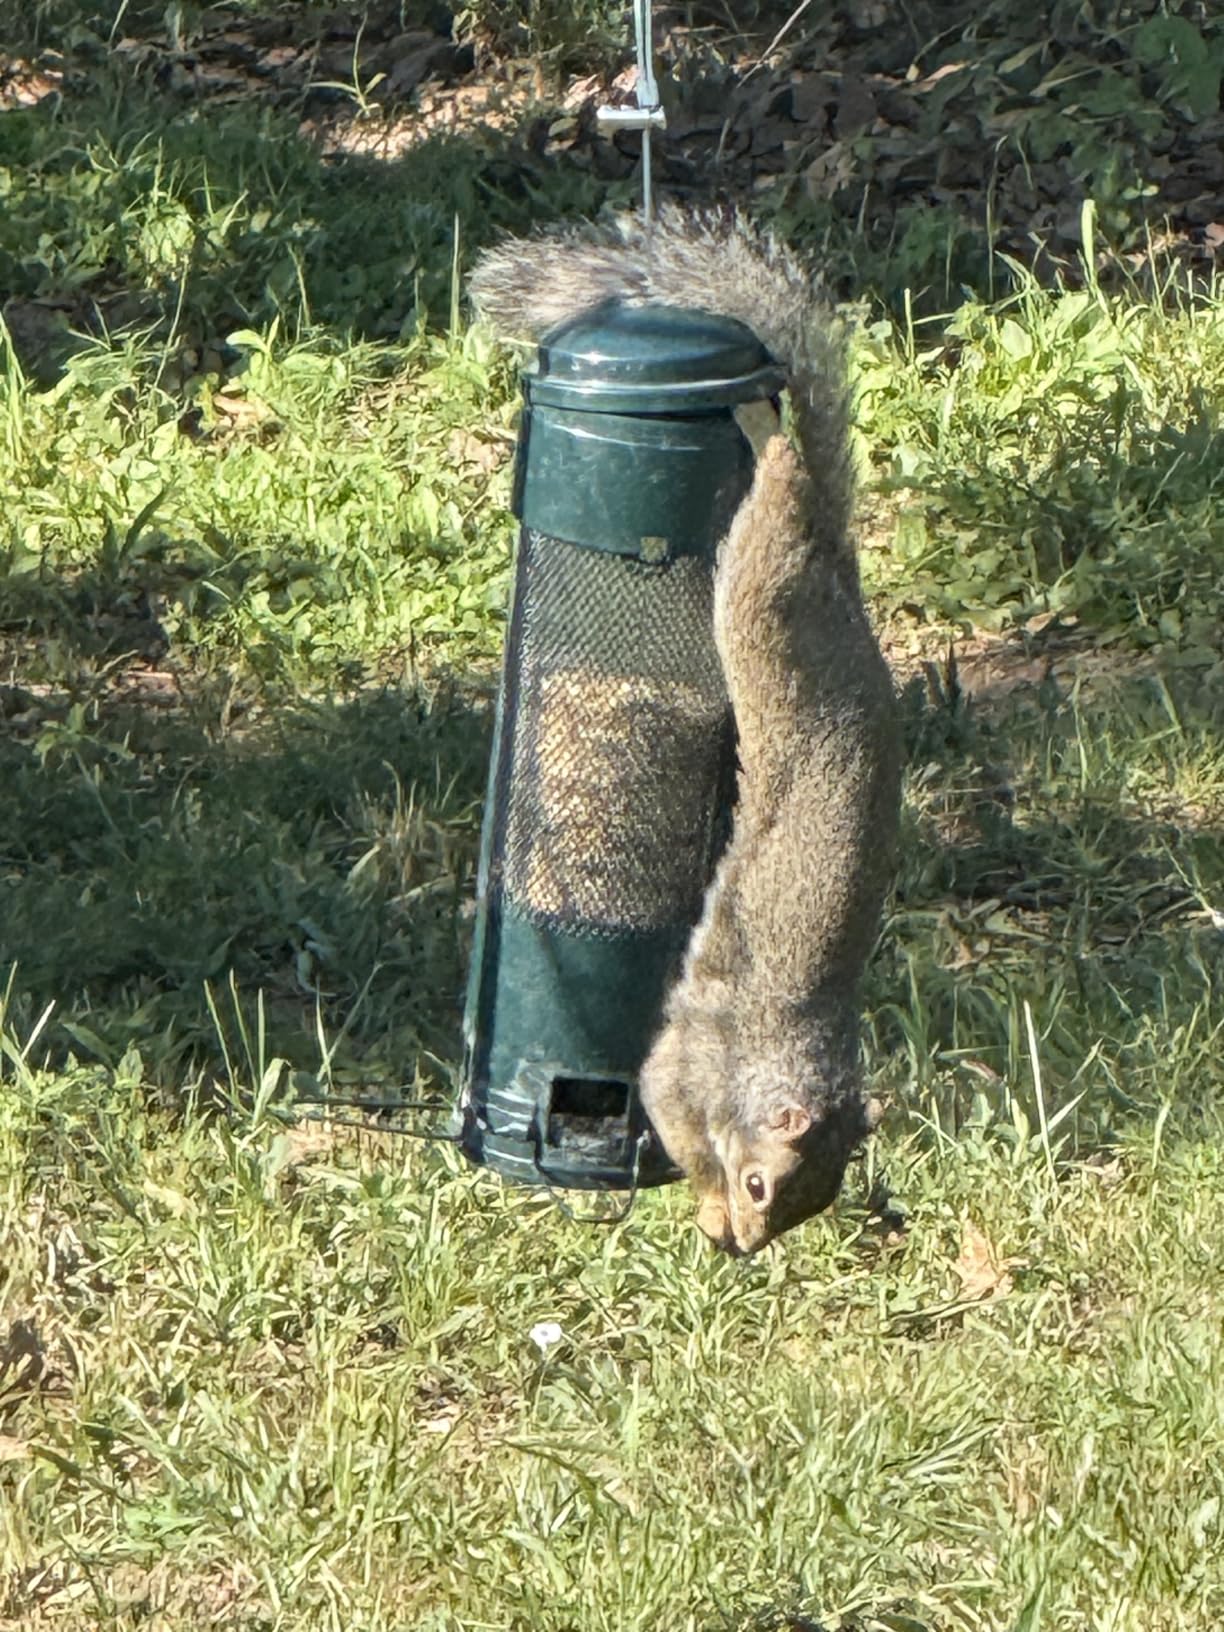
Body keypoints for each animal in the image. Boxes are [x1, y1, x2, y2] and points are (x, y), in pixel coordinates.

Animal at [470, 204, 903, 1254]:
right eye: (759, 1184)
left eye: (814, 1199)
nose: (748, 1248)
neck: (783, 1052)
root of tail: (837, 564)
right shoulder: (689, 1065)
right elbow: (672, 1110)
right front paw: (703, 1204)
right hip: (760, 593)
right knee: (778, 478)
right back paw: (762, 425)